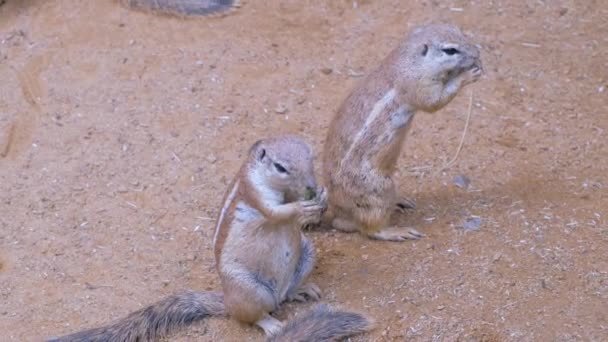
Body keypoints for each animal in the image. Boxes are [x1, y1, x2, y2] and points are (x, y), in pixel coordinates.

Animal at [47, 136, 370, 342]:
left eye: (311, 156)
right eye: (280, 167)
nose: (311, 185)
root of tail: (226, 301)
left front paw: (322, 195)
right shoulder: (254, 193)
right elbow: (277, 212)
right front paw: (303, 207)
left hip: (306, 253)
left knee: (285, 294)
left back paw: (301, 290)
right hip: (251, 290)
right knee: (253, 315)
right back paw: (272, 325)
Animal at [320, 23, 482, 240]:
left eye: (458, 30)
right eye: (450, 50)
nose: (476, 53)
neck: (410, 58)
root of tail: (337, 208)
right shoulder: (418, 84)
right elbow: (434, 102)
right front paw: (468, 75)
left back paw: (399, 200)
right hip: (376, 191)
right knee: (370, 228)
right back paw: (396, 231)